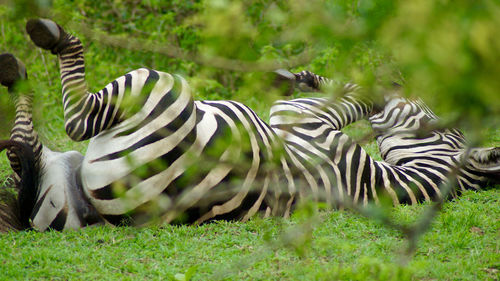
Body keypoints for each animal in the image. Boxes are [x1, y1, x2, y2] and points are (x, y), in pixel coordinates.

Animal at [0, 18, 498, 231]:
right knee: (26, 151)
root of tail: (104, 216)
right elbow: (345, 95)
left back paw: (41, 44)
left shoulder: (300, 121)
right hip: (59, 182)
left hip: (158, 85)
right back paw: (16, 81)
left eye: (430, 118)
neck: (378, 184)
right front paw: (301, 75)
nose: (403, 79)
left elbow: (356, 101)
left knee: (76, 118)